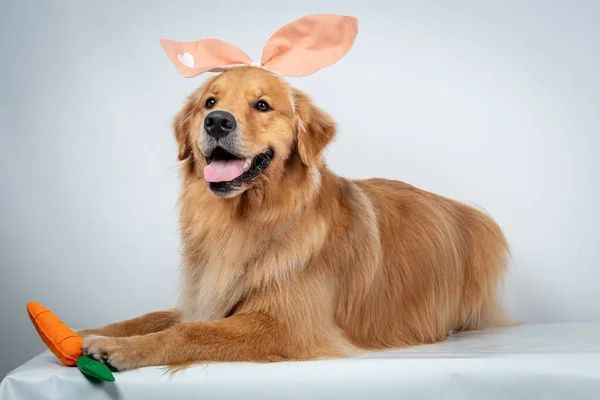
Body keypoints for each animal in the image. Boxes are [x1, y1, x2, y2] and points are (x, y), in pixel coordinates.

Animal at [78, 66, 510, 372]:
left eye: (262, 105)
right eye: (209, 102)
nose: (217, 121)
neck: (249, 220)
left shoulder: (288, 325)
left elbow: (188, 332)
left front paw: (117, 349)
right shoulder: (208, 298)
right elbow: (149, 317)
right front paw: (90, 331)